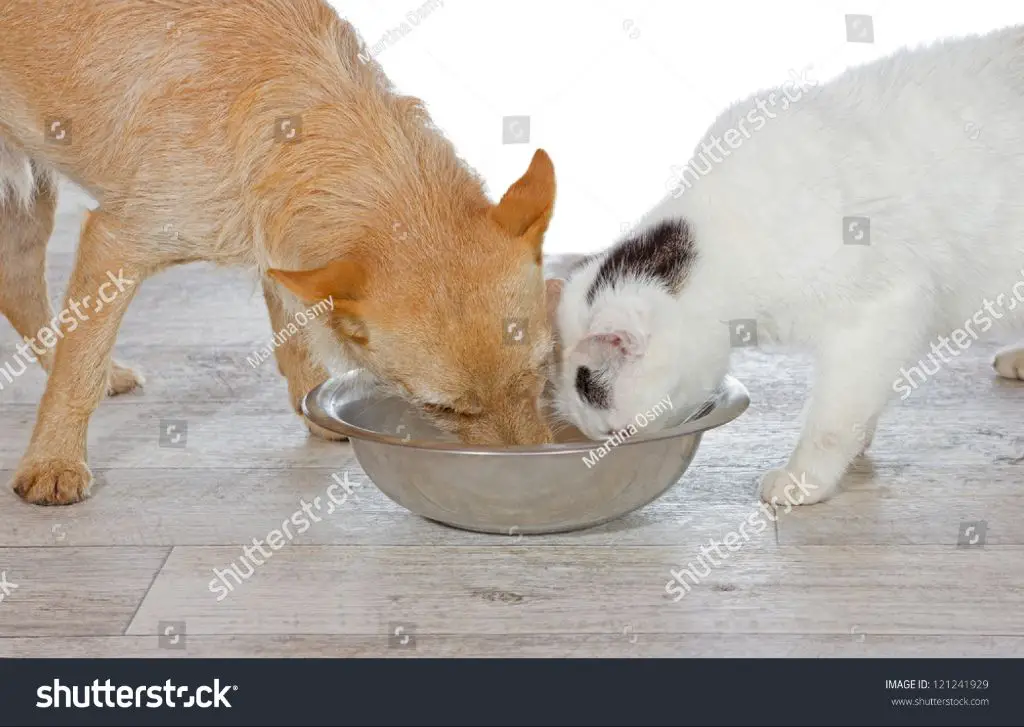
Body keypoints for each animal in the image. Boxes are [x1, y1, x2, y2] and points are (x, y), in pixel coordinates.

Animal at [0, 0, 557, 507]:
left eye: (540, 369)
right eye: (441, 409)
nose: (527, 475)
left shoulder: (282, 240)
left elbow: (295, 324)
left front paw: (313, 402)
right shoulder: (116, 245)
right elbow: (79, 370)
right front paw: (54, 460)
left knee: (20, 285)